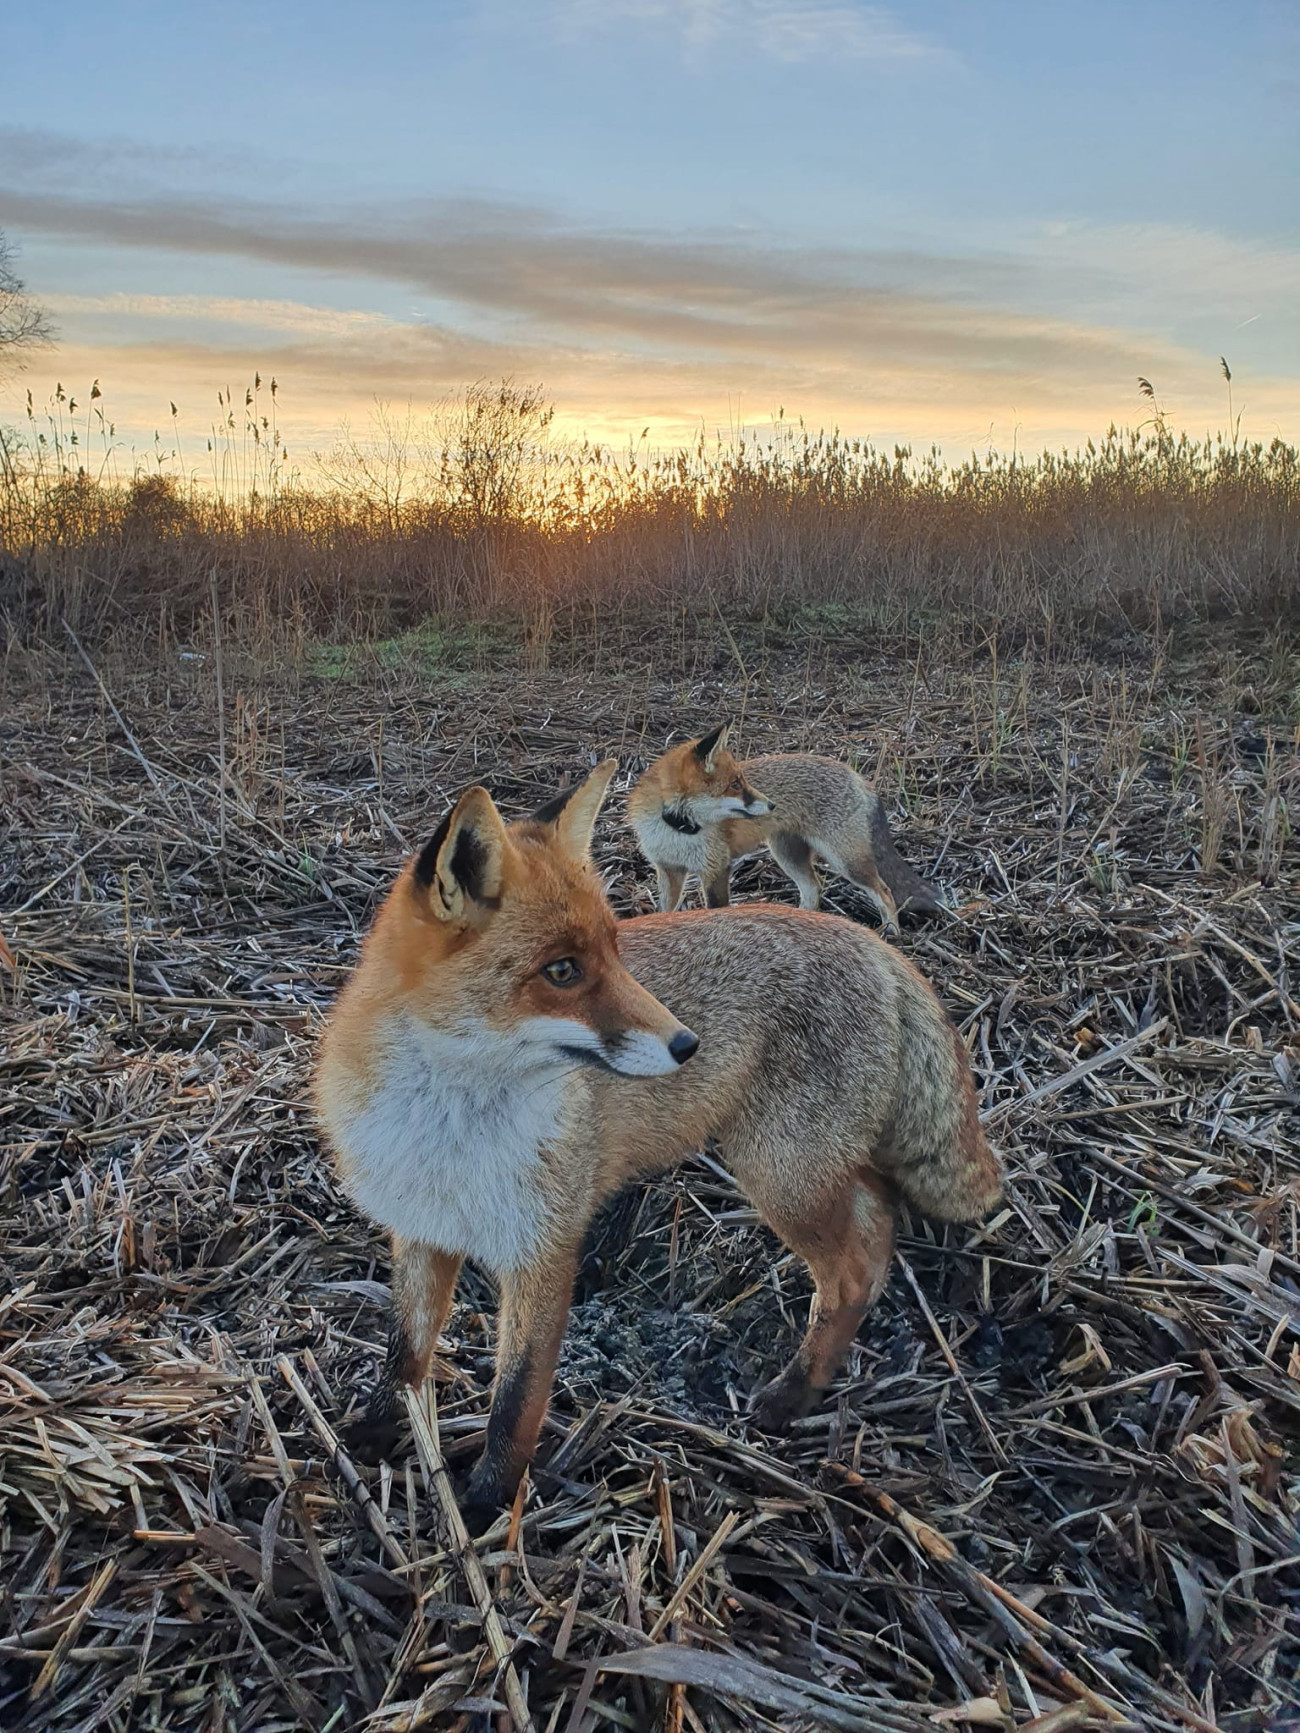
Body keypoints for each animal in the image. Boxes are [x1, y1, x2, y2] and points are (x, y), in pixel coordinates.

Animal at [313, 765, 998, 1525]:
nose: (686, 1043)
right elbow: (405, 1353)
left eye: (616, 949)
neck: (448, 1135)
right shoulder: (421, 1230)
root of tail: (878, 946)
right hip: (809, 1169)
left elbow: (515, 1401)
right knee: (878, 1228)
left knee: (850, 1274)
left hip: (778, 1173)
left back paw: (792, 1394)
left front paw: (488, 1506)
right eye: (562, 970)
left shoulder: (543, 1249)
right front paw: (374, 1434)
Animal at [627, 724, 942, 928]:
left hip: (846, 862)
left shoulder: (716, 869)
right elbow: (664, 910)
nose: (771, 805)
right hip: (788, 855)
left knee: (885, 891)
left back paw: (891, 933)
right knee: (814, 887)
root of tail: (858, 776)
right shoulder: (668, 870)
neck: (678, 830)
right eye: (735, 784)